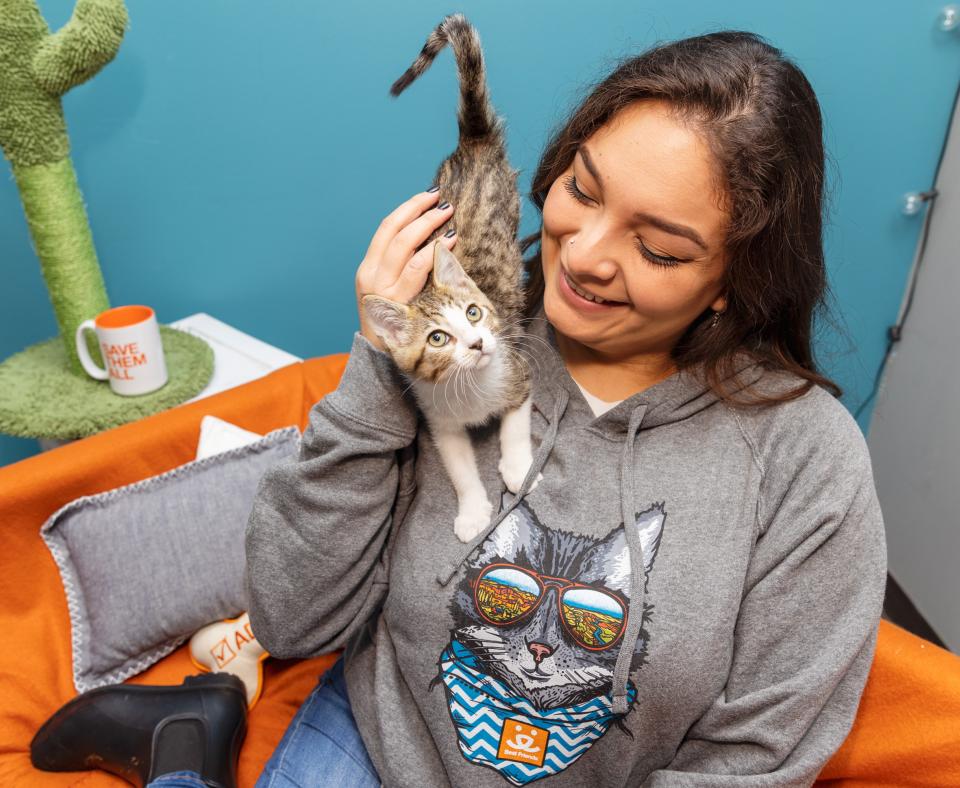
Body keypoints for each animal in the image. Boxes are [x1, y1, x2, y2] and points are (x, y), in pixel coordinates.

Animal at [364, 13, 536, 540]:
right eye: (437, 338)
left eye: (475, 312)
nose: (478, 343)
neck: (471, 387)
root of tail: (472, 142)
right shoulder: (438, 419)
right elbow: (458, 467)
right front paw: (474, 511)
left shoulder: (518, 371)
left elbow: (515, 425)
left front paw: (518, 468)